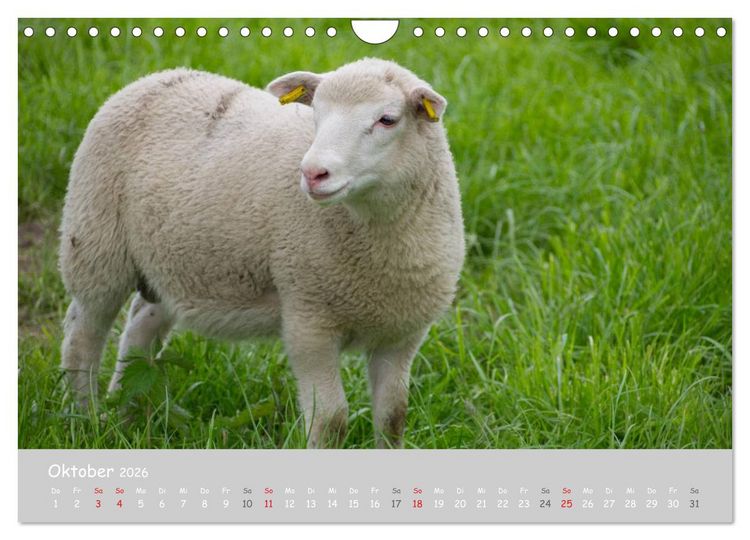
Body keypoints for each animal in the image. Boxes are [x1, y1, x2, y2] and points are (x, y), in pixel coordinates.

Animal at [58, 58, 465, 448]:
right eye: (316, 113)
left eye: (387, 119)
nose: (312, 173)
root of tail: (157, 76)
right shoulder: (308, 319)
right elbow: (330, 422)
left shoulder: (403, 335)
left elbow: (393, 419)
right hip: (95, 240)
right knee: (83, 334)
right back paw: (86, 417)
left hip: (168, 261)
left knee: (142, 324)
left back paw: (127, 412)